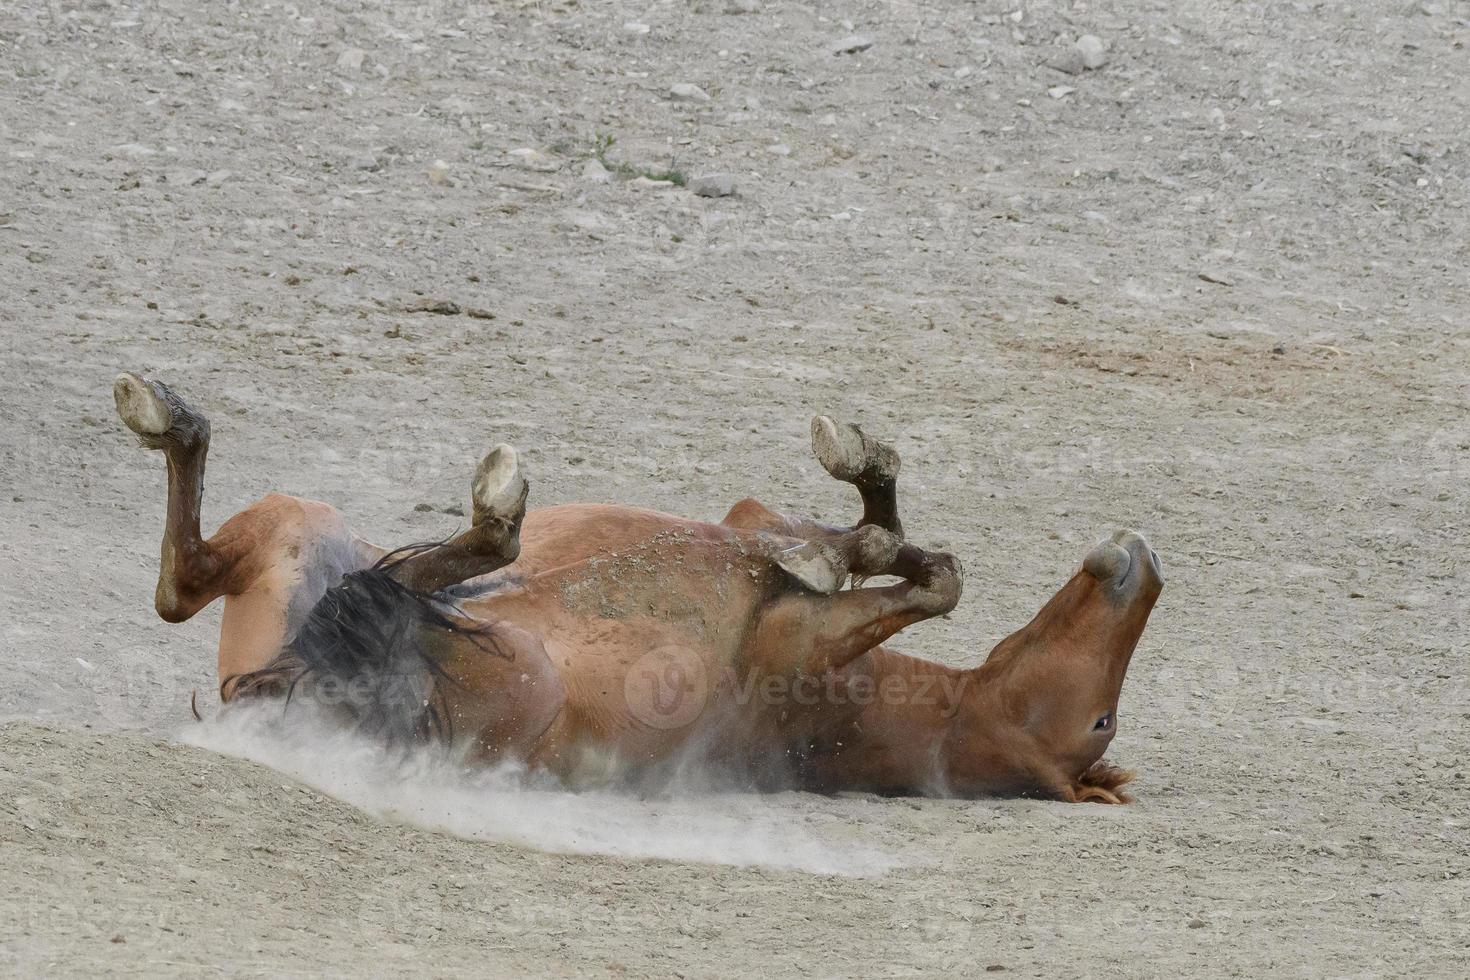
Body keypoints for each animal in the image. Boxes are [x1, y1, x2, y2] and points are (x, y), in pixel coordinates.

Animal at [114, 371, 1164, 799]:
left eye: (1100, 722)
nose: (1142, 562)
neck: (840, 712)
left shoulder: (793, 635)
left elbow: (926, 577)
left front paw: (848, 530)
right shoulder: (746, 523)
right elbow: (893, 550)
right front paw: (855, 492)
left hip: (488, 665)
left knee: (403, 581)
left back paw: (495, 511)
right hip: (306, 534)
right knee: (182, 583)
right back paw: (164, 413)